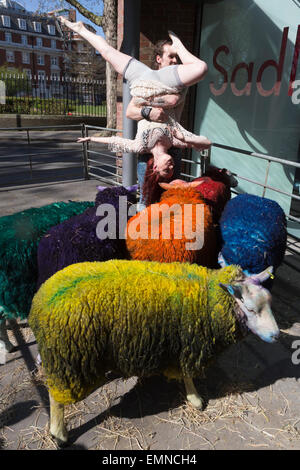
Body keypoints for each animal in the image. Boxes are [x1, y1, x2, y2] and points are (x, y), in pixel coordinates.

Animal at [28, 258, 278, 446]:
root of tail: (38, 305)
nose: (276, 335)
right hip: (69, 358)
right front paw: (195, 399)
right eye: (250, 309)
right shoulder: (188, 345)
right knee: (56, 396)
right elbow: (187, 374)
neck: (208, 299)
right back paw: (59, 433)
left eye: (269, 303)